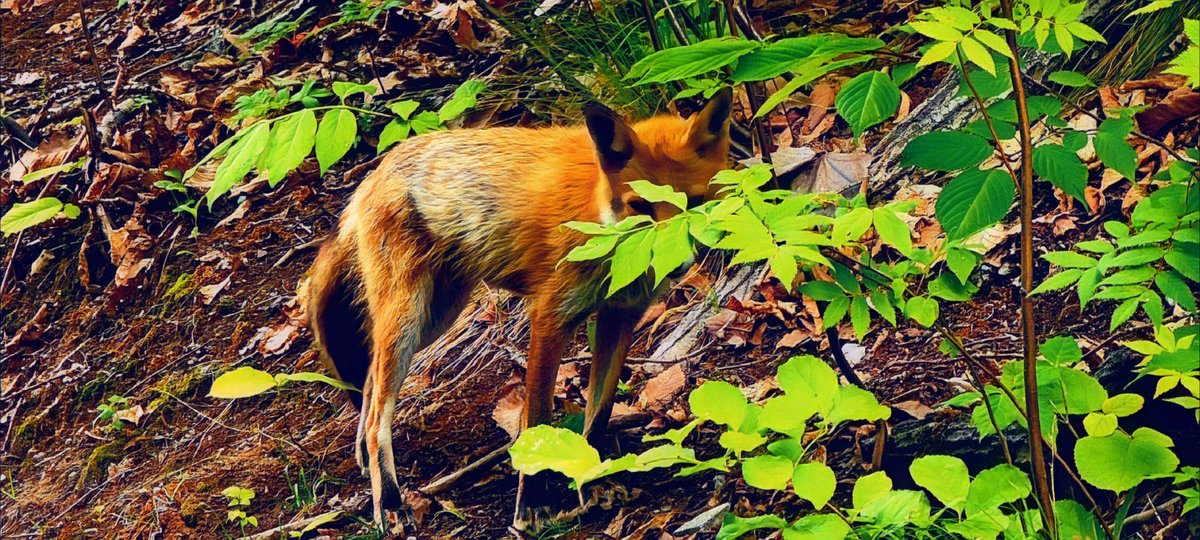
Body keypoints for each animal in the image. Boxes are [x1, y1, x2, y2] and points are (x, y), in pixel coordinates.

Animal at [305, 87, 733, 528]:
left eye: (694, 201)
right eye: (640, 207)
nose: (676, 264)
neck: (596, 213)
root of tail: (373, 173)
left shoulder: (621, 315)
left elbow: (598, 415)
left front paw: (594, 480)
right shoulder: (548, 315)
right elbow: (537, 419)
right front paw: (533, 502)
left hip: (437, 315)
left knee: (370, 381)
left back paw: (366, 462)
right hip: (409, 315)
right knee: (378, 416)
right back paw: (389, 500)